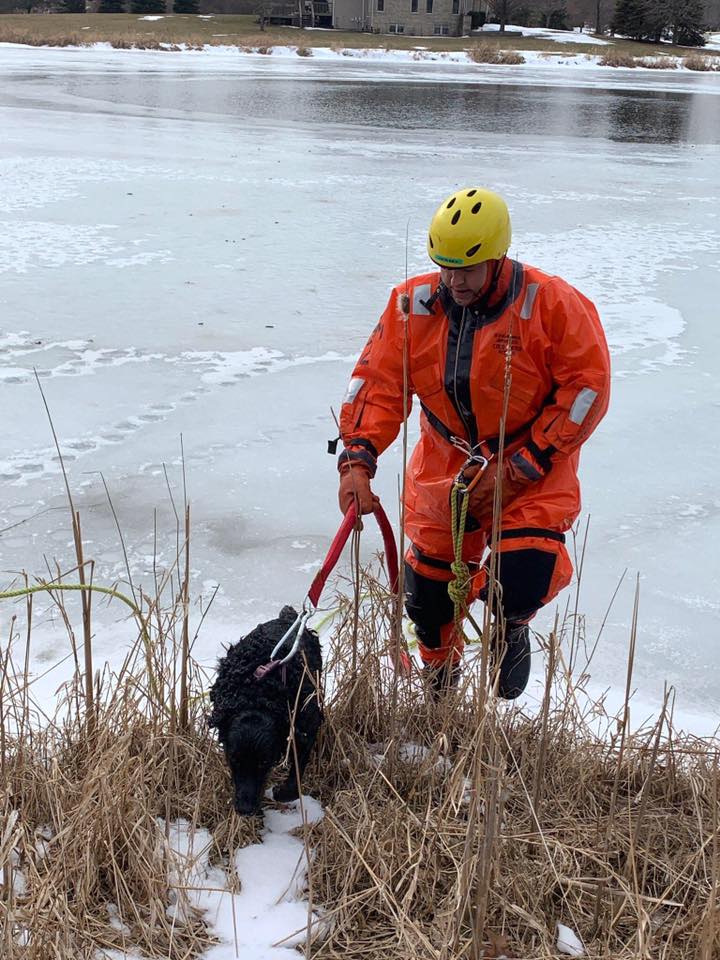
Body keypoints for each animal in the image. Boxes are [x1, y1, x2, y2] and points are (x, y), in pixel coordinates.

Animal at [207, 604, 322, 812]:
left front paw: (282, 792)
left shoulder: (307, 727)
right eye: (234, 759)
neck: (258, 694)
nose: (245, 809)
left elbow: (296, 775)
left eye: (264, 762)